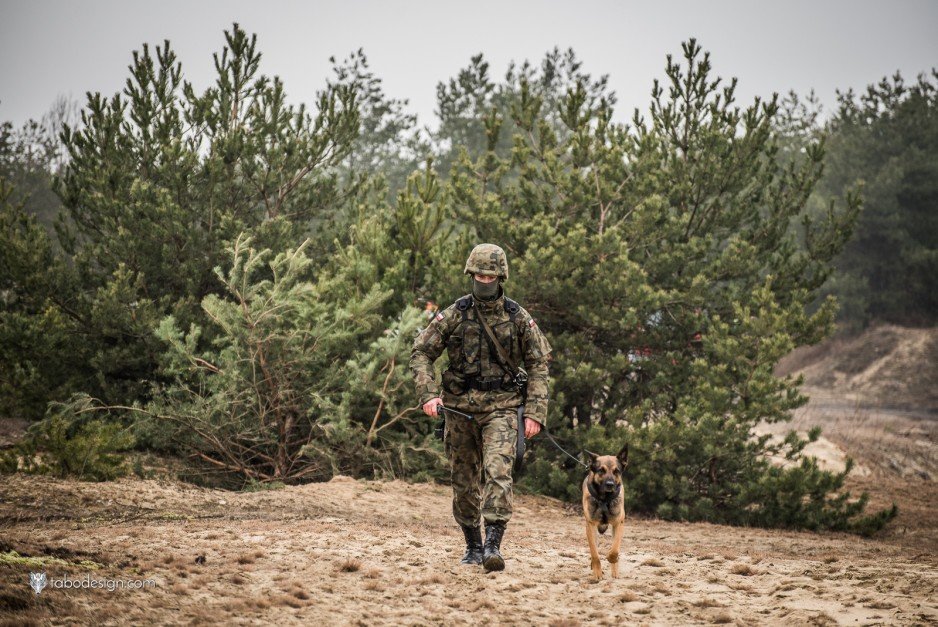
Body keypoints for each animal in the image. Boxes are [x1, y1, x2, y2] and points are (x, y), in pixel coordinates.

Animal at [576, 444, 628, 580]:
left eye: (616, 471)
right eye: (601, 470)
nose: (610, 484)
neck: (605, 499)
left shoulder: (618, 524)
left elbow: (615, 549)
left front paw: (611, 558)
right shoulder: (590, 526)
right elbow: (595, 553)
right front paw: (597, 572)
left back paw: (615, 571)